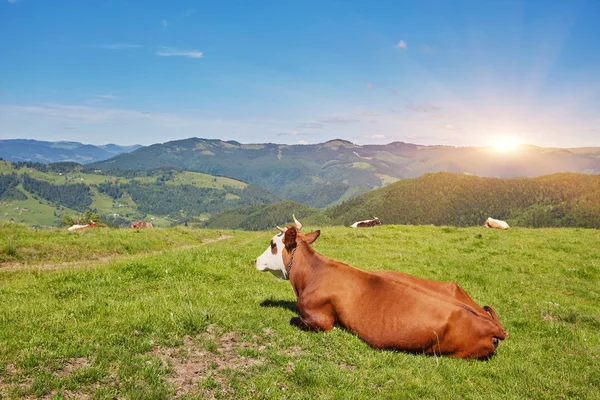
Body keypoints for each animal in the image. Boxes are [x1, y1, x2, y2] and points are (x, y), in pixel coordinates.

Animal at [254, 216, 506, 360]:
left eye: (273, 244)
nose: (255, 260)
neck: (311, 274)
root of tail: (493, 326)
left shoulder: (321, 319)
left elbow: (295, 320)